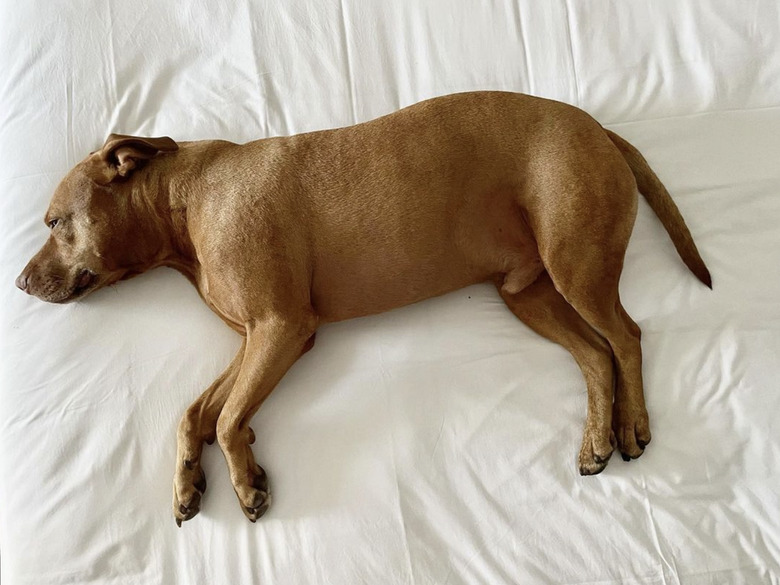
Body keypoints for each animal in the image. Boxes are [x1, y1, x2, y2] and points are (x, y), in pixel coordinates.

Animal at [15, 92, 708, 524]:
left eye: (55, 222)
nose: (19, 283)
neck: (183, 202)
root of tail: (596, 127)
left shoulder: (282, 330)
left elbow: (227, 416)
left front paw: (247, 483)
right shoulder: (257, 339)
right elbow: (196, 413)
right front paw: (189, 481)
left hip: (576, 266)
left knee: (626, 337)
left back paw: (630, 424)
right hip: (527, 295)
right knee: (595, 354)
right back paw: (595, 441)